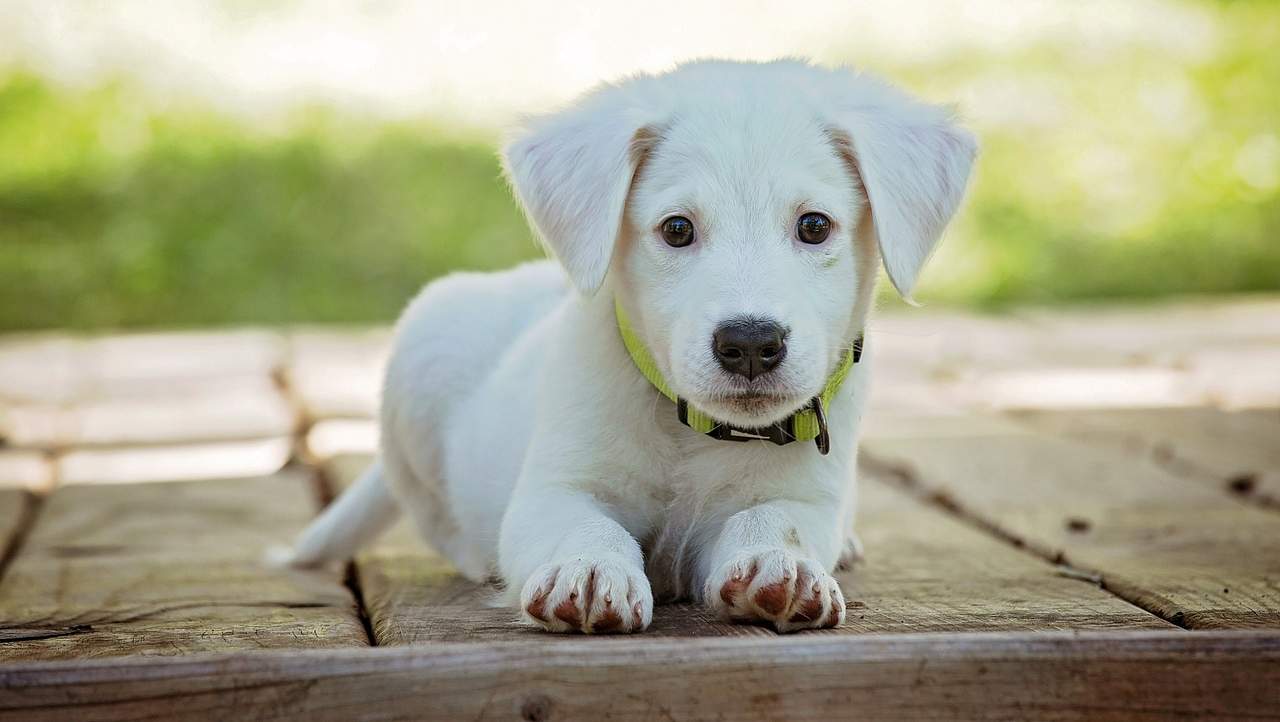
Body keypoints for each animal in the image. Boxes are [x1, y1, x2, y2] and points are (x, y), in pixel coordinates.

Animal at [285, 59, 972, 632]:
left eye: (814, 225)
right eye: (677, 229)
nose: (751, 343)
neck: (692, 431)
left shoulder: (804, 497)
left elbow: (773, 520)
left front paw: (783, 566)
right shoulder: (553, 491)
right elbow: (585, 526)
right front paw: (590, 571)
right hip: (422, 356)